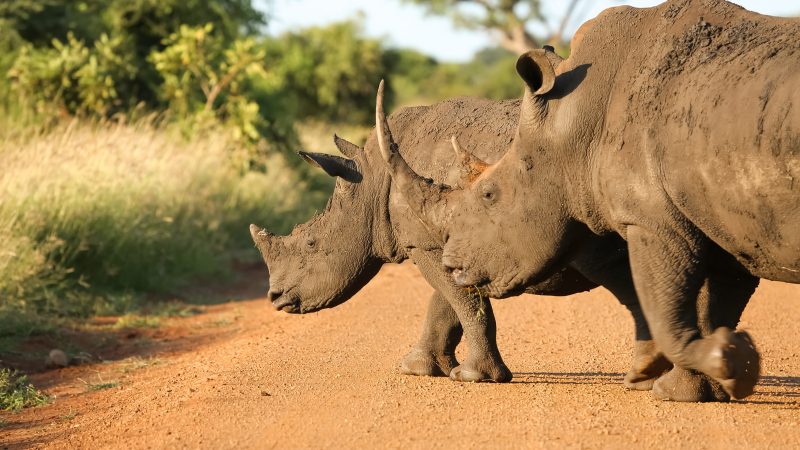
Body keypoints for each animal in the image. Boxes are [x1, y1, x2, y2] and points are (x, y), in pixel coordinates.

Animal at [252, 93, 732, 401]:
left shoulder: (427, 240)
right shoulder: (445, 240)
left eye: (311, 243)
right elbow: (445, 305)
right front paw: (419, 367)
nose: (274, 298)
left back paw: (659, 382)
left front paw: (472, 377)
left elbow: (461, 302)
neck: (370, 184)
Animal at [378, 0, 799, 400]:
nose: (451, 265)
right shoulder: (729, 222)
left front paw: (717, 364)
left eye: (489, 195)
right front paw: (708, 377)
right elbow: (717, 304)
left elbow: (666, 305)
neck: (574, 125)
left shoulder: (652, 220)